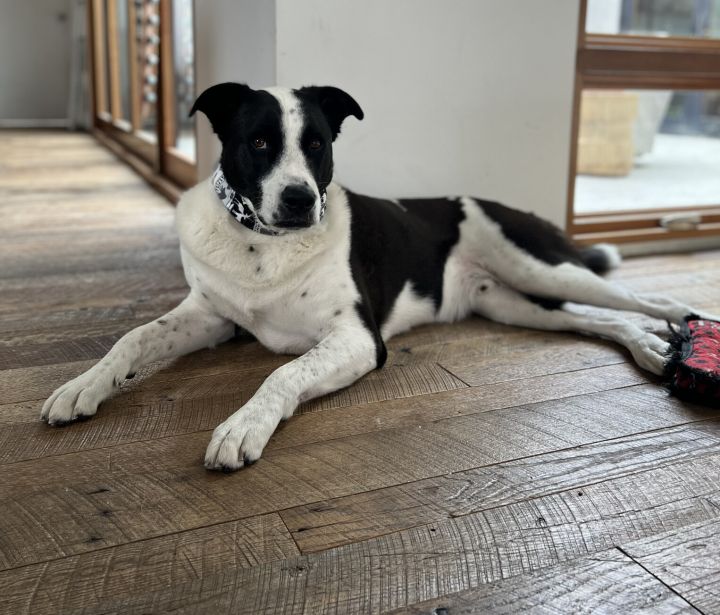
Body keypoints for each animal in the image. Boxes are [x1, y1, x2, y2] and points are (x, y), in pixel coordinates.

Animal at [40, 83, 716, 472]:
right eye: (258, 142)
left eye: (317, 144)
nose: (299, 199)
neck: (265, 246)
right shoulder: (210, 316)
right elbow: (133, 338)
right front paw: (84, 386)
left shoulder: (358, 339)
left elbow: (284, 372)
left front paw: (244, 425)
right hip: (515, 302)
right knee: (603, 319)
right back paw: (653, 350)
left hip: (541, 266)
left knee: (640, 297)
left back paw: (681, 328)